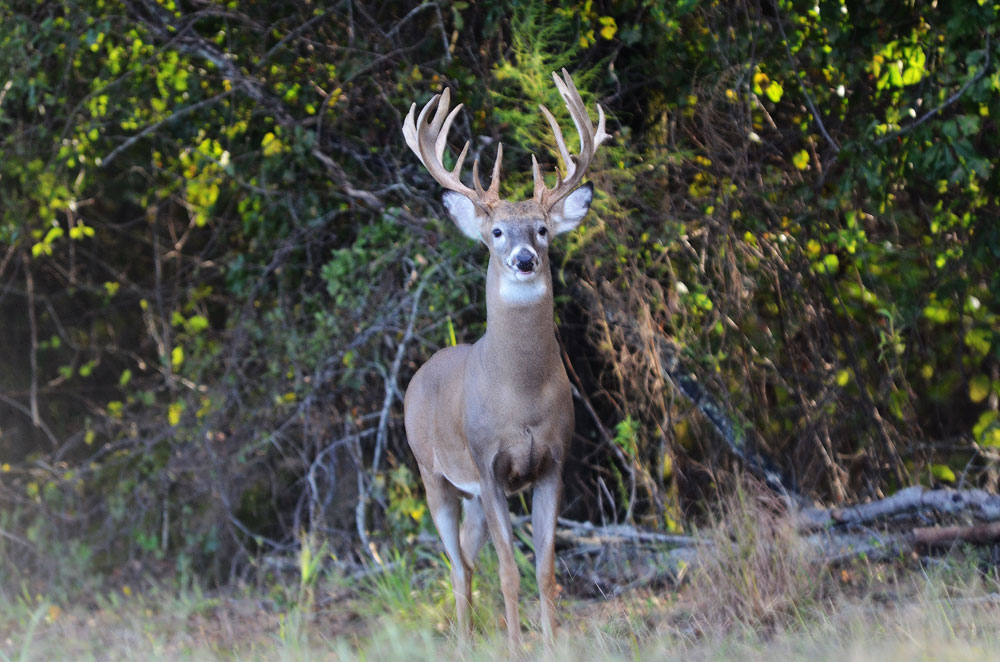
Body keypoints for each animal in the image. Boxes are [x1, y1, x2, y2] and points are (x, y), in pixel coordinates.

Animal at [400, 70, 608, 652]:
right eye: (496, 232)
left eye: (542, 228)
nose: (524, 259)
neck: (522, 396)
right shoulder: (488, 462)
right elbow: (509, 572)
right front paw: (517, 649)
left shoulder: (555, 460)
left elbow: (544, 569)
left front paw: (554, 648)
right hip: (433, 473)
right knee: (458, 567)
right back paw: (464, 644)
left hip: (468, 493)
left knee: (469, 563)